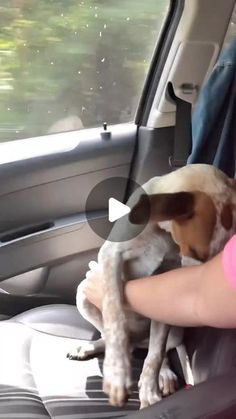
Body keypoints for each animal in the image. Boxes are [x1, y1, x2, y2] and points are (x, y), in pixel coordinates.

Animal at [67, 165, 236, 410]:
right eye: (195, 251)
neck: (159, 230)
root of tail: (138, 341)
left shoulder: (165, 282)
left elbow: (155, 354)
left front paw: (149, 391)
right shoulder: (111, 256)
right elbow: (114, 314)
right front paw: (117, 373)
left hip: (174, 330)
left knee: (159, 350)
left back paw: (164, 374)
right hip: (82, 294)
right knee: (112, 335)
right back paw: (94, 347)